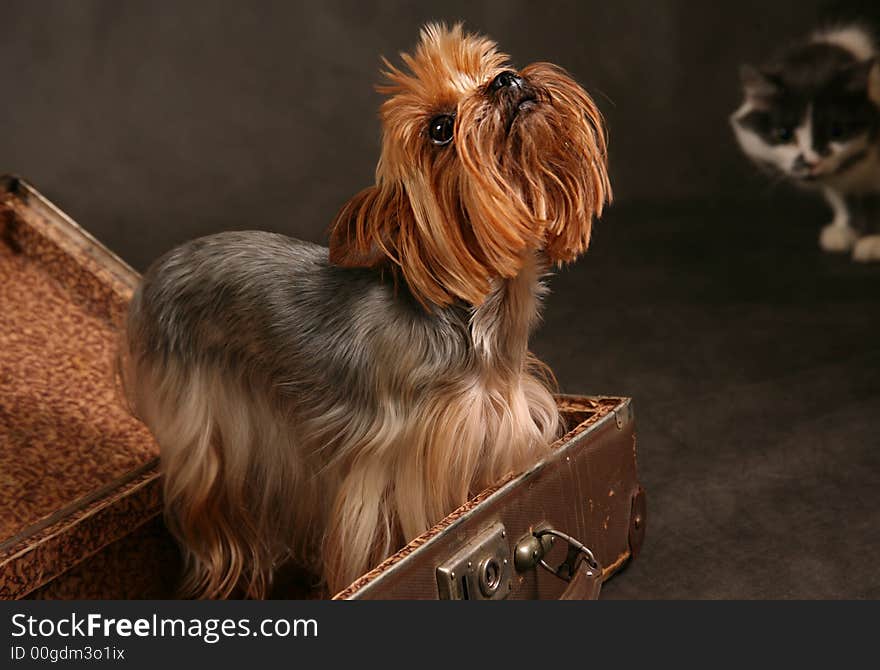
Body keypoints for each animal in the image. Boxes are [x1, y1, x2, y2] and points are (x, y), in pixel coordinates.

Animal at [120, 25, 608, 600]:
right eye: (440, 129)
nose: (508, 80)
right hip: (204, 426)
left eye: (492, 67)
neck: (478, 322)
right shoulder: (399, 466)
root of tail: (155, 273)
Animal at [728, 23, 880, 262]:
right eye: (784, 135)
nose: (811, 162)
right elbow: (840, 198)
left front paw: (873, 241)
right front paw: (843, 230)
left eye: (837, 132)